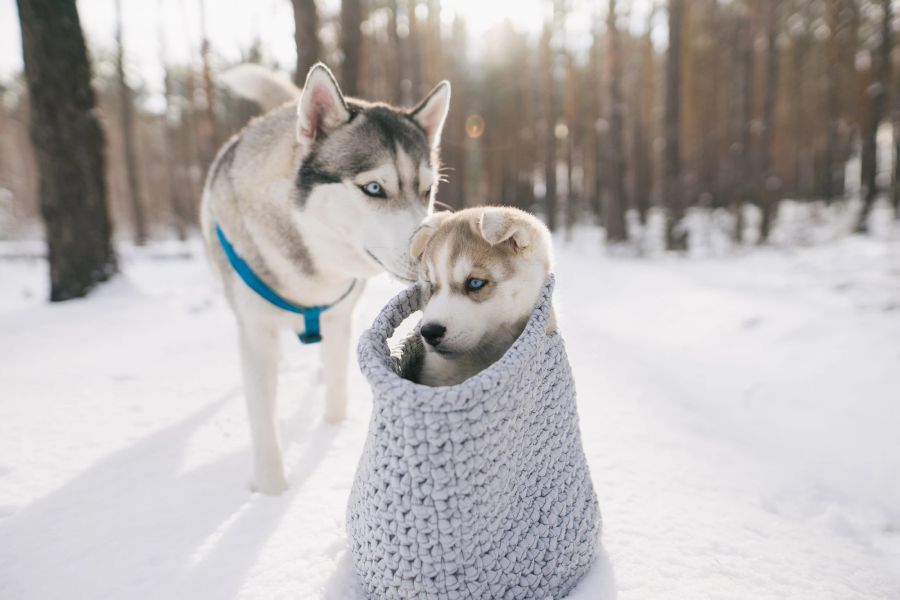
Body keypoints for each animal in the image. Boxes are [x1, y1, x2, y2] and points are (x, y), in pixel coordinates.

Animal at [202, 63, 450, 494]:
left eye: (427, 189)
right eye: (373, 188)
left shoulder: (338, 318)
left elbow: (336, 391)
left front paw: (332, 433)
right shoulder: (256, 333)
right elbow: (263, 423)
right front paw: (271, 492)